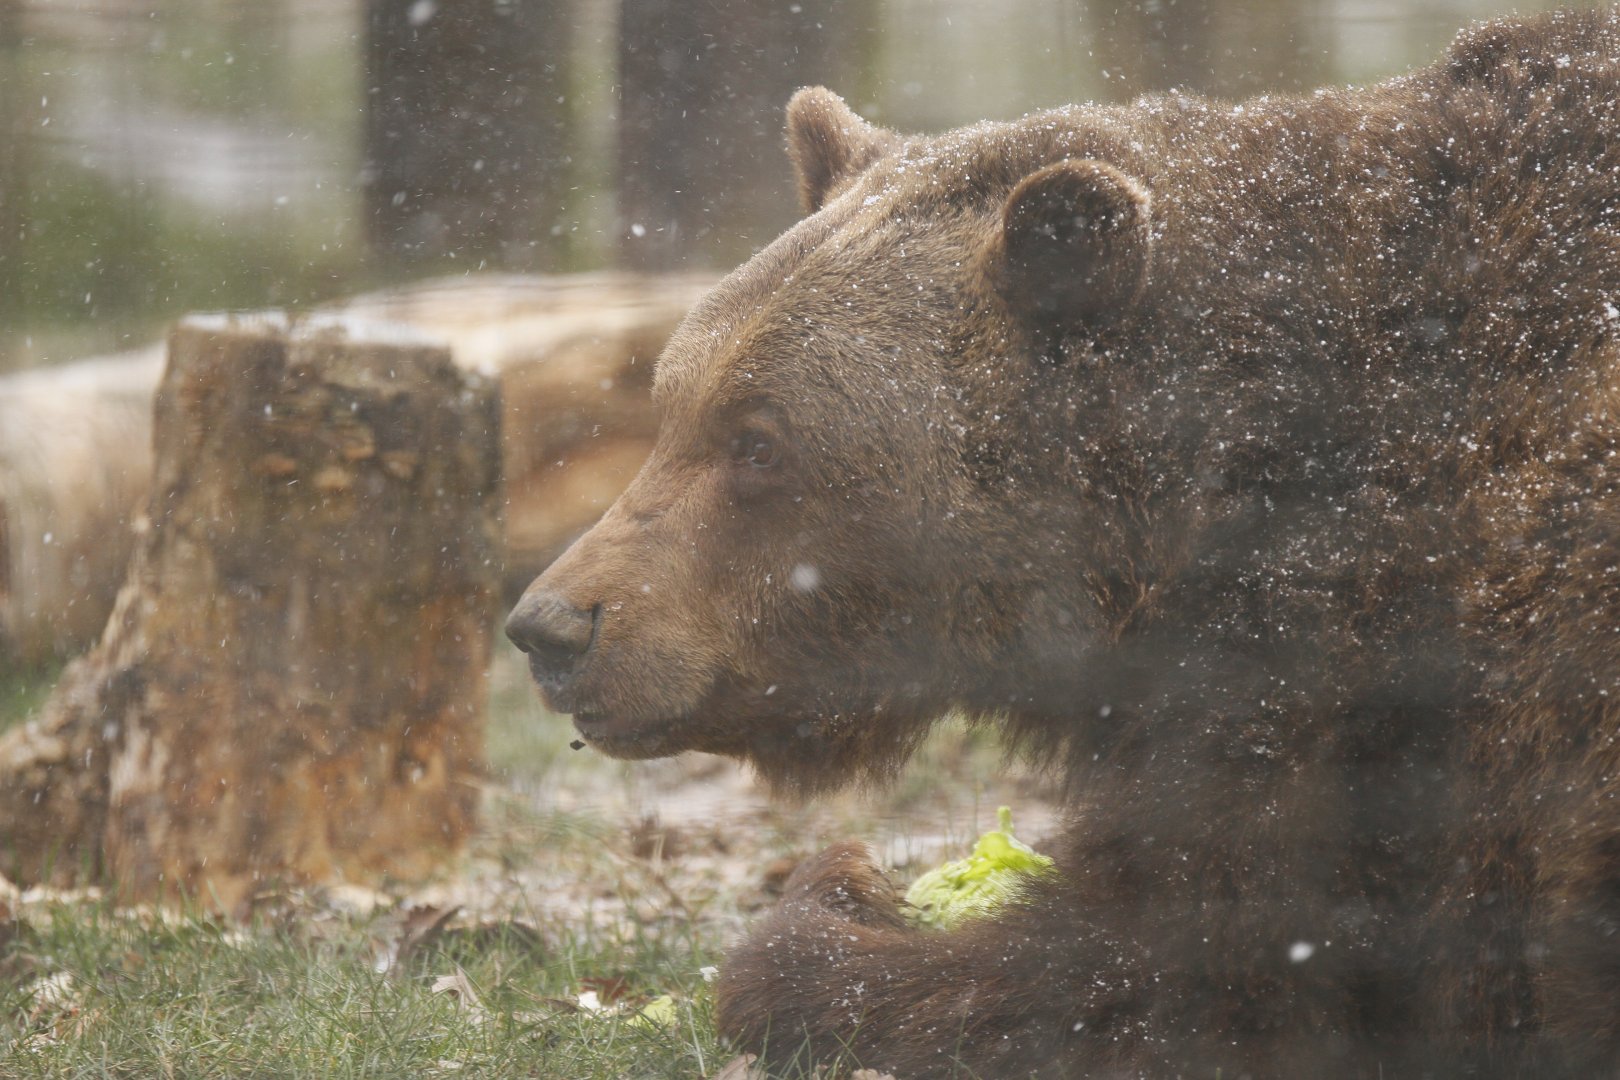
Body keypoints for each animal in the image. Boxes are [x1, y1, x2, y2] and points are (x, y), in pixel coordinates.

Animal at [506, 8, 1620, 1076]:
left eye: (759, 442)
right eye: (672, 406)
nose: (551, 627)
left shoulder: (1369, 676)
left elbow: (1178, 960)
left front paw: (835, 903)